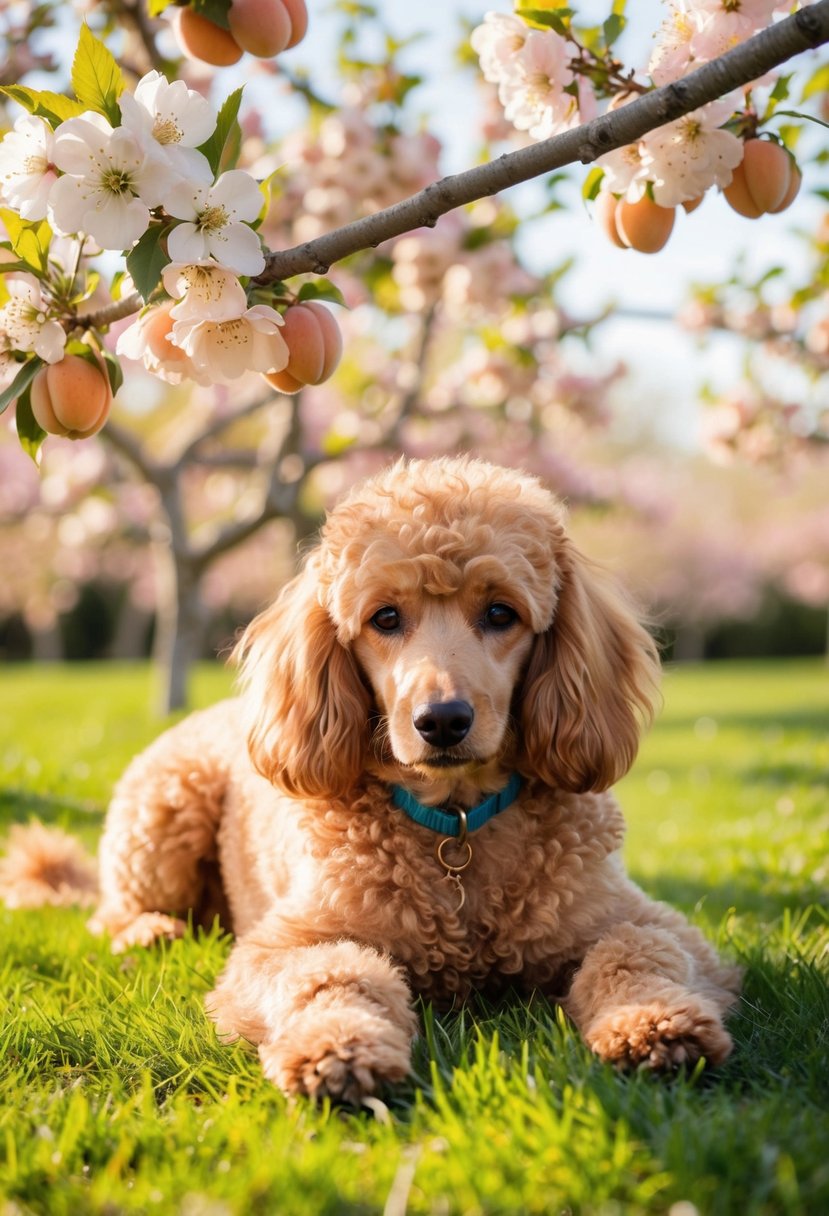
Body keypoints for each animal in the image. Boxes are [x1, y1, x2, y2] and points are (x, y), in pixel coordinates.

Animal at [4, 457, 743, 1104]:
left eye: (500, 614)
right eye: (385, 618)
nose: (442, 720)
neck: (456, 827)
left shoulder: (643, 921)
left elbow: (637, 951)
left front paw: (655, 1025)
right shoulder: (281, 946)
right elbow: (333, 972)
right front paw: (339, 1048)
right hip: (164, 816)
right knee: (110, 910)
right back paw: (150, 934)